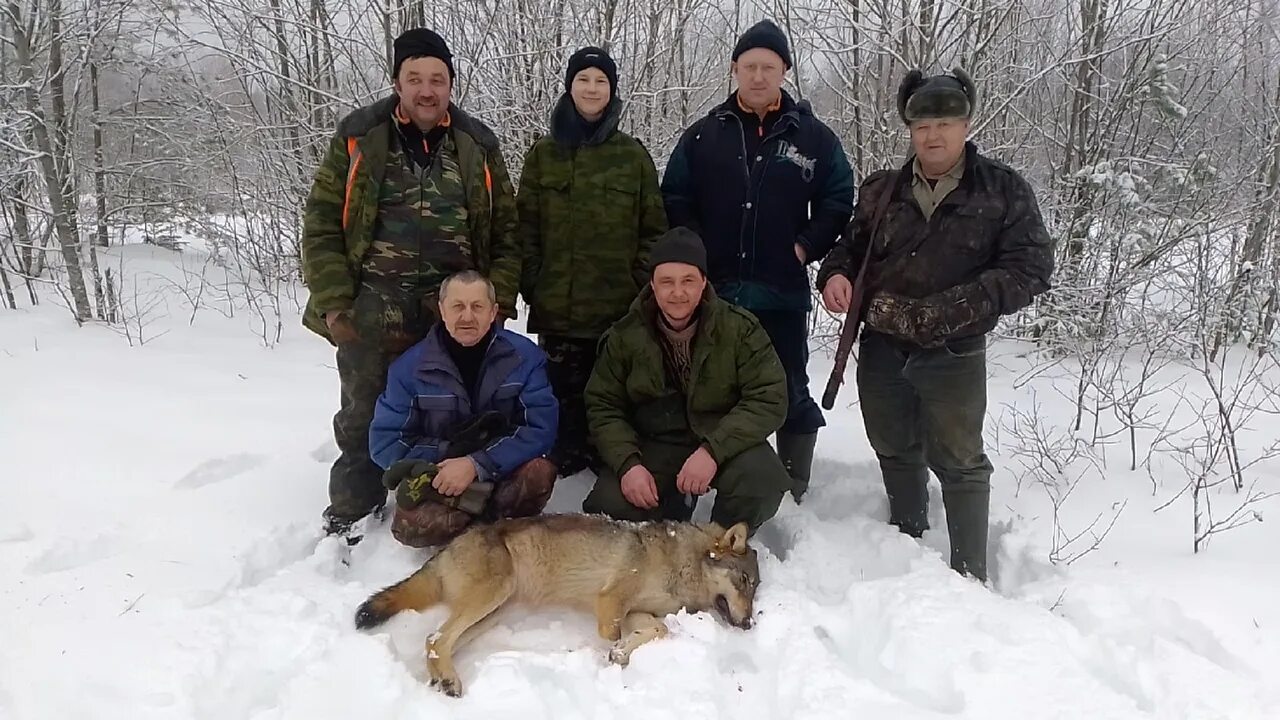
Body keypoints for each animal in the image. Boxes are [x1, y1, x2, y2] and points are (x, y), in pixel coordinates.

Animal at [353, 512, 757, 691]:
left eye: (755, 588)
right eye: (744, 582)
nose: (750, 624)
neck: (682, 562)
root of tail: (449, 546)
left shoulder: (639, 612)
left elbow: (659, 630)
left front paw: (622, 653)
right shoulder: (610, 602)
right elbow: (611, 633)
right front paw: (613, 657)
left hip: (493, 614)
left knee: (435, 640)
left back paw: (442, 679)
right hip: (491, 599)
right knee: (437, 638)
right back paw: (450, 680)